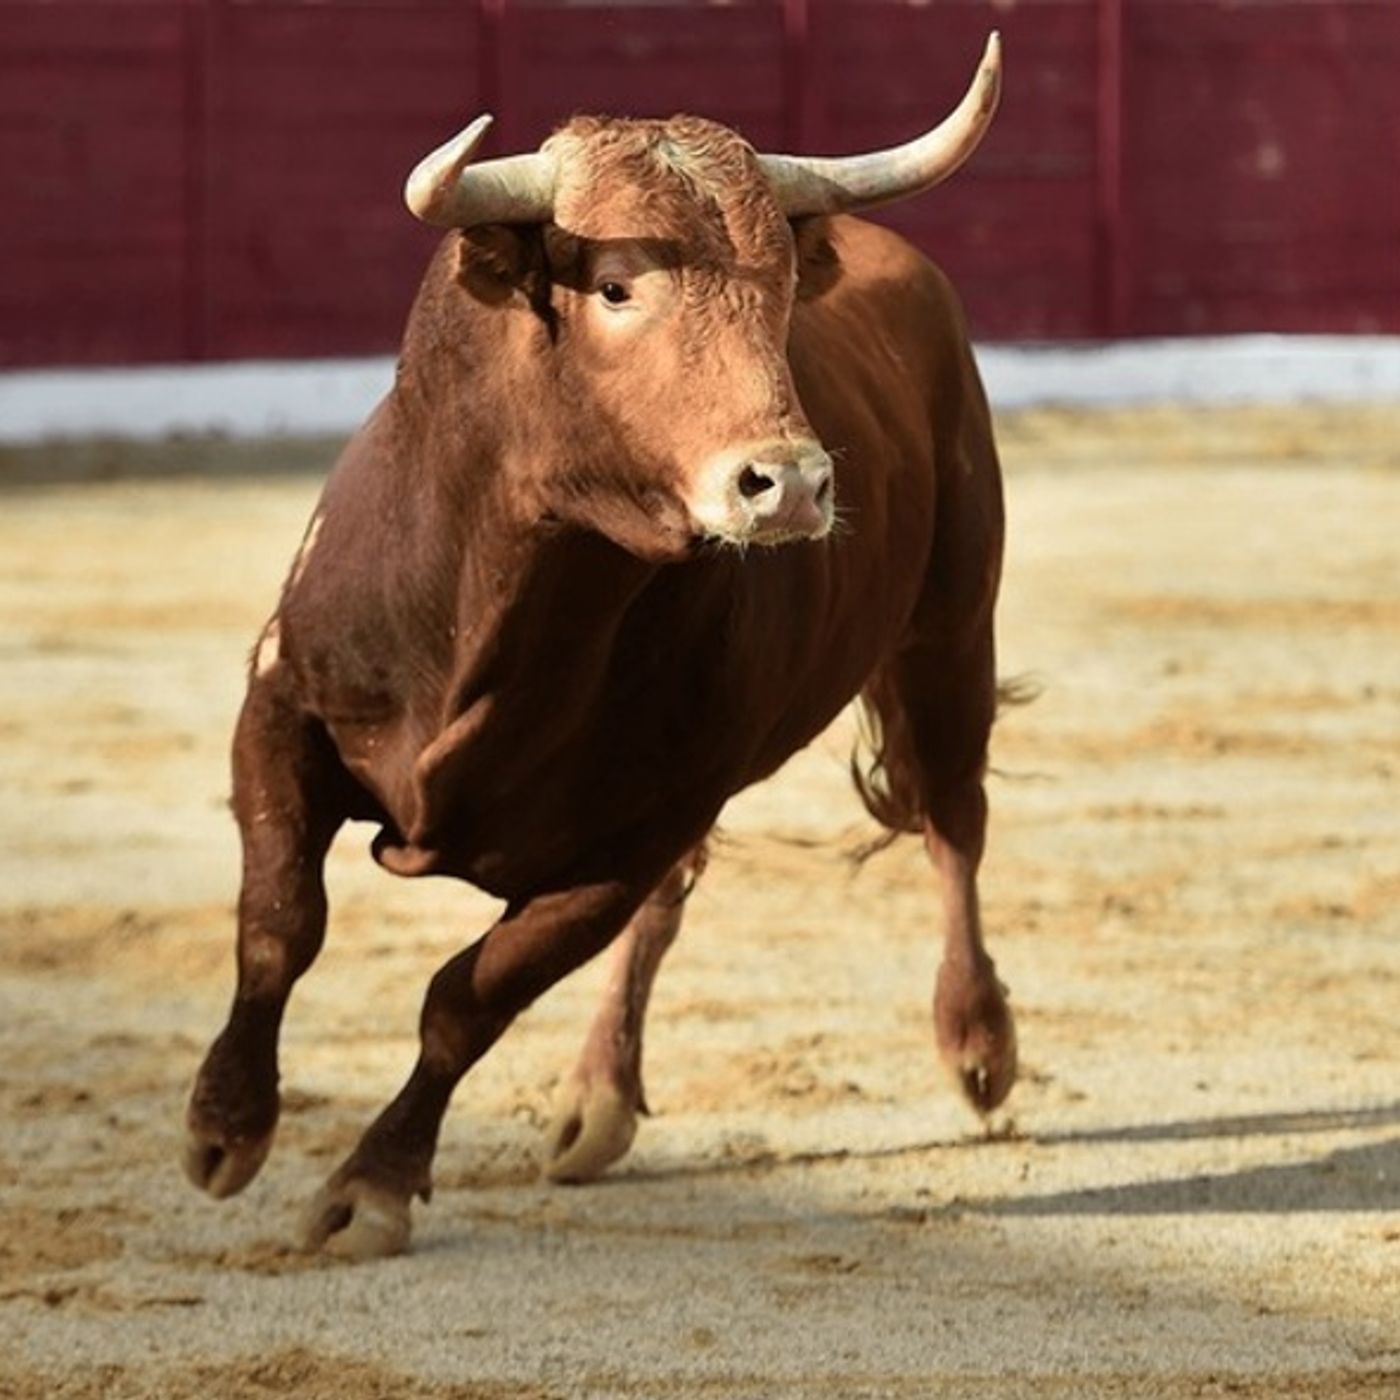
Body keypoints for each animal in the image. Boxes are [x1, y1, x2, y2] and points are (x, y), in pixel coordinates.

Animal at [183, 33, 1018, 1259]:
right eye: (618, 284)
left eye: (778, 292)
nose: (789, 483)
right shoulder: (282, 707)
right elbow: (280, 924)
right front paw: (223, 1126)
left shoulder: (631, 833)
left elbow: (466, 997)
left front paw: (369, 1186)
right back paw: (597, 1099)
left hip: (949, 628)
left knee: (952, 819)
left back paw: (976, 1043)